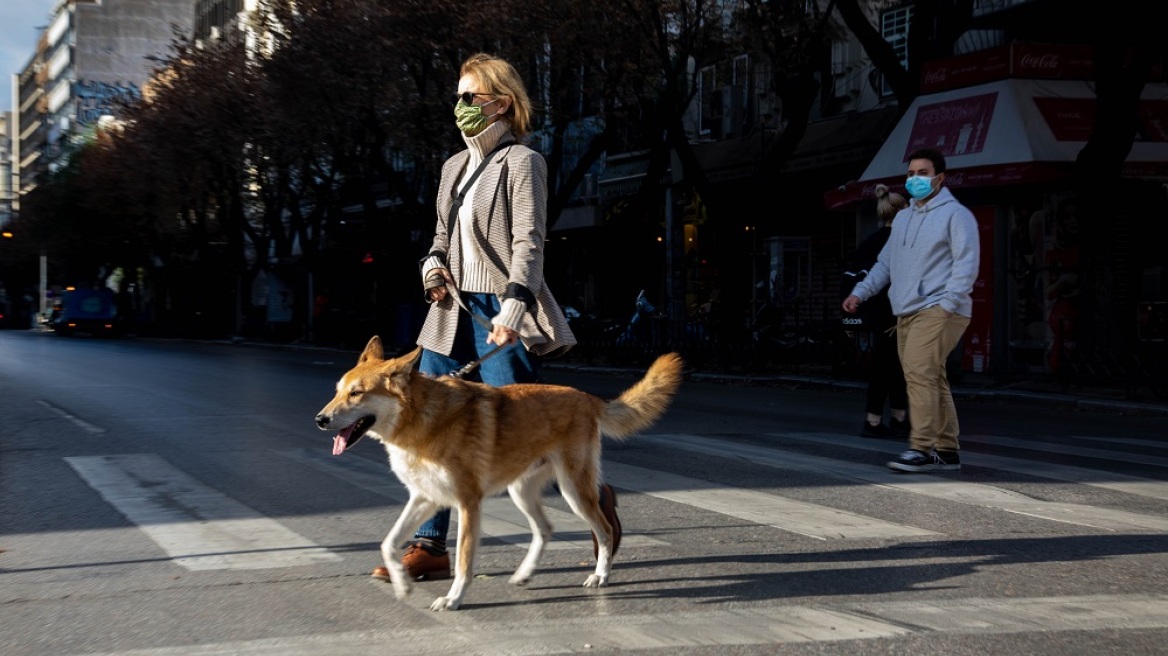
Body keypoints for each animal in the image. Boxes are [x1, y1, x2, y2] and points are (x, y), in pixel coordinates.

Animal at [315, 333, 686, 611]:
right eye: (337, 390)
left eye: (356, 393)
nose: (319, 419)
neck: (422, 419)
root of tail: (588, 397)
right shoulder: (426, 498)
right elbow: (389, 543)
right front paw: (404, 585)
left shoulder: (468, 503)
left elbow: (464, 561)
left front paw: (453, 599)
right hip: (522, 492)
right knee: (546, 529)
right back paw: (524, 574)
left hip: (572, 490)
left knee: (605, 528)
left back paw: (601, 575)